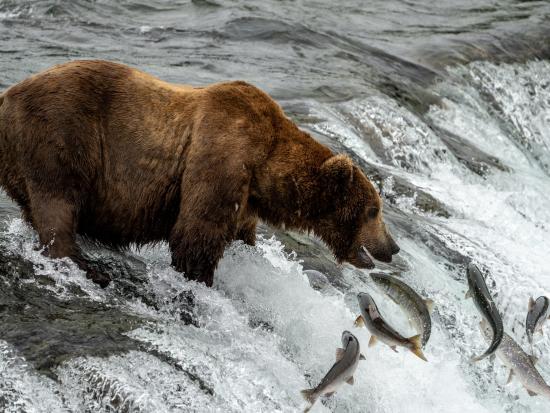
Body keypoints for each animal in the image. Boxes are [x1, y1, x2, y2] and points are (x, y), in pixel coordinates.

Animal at [0, 60, 398, 286]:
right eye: (373, 210)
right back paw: (87, 265)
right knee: (57, 198)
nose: (392, 247)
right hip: (61, 131)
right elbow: (195, 233)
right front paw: (200, 279)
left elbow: (238, 232)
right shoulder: (222, 153)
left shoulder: (245, 196)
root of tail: (7, 96)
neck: (265, 165)